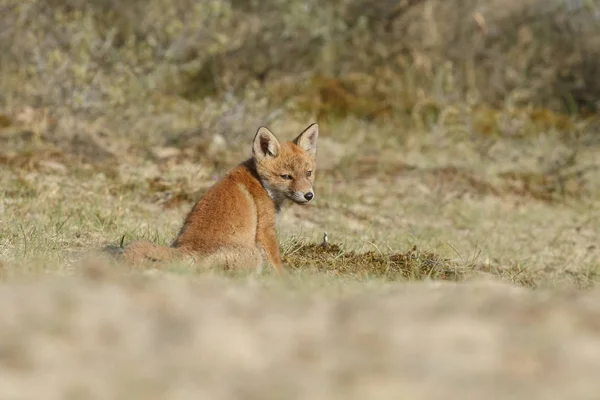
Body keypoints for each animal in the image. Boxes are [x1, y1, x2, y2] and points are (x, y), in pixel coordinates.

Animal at [122, 122, 318, 276]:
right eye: (286, 177)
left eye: (308, 173)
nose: (308, 195)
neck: (260, 182)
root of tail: (186, 248)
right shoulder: (265, 230)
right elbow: (277, 262)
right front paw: (285, 282)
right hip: (253, 255)